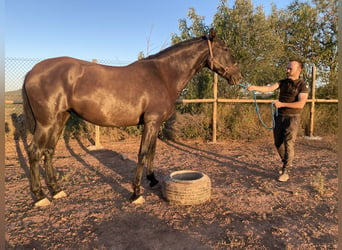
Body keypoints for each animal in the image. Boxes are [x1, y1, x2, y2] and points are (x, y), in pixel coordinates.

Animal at [22, 29, 240, 206]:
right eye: (225, 48)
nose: (237, 76)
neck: (163, 75)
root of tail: (31, 72)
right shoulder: (151, 122)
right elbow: (142, 154)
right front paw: (136, 192)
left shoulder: (155, 123)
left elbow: (152, 151)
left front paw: (152, 180)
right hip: (46, 123)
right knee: (34, 152)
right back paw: (40, 196)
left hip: (60, 119)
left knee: (48, 152)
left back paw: (56, 190)